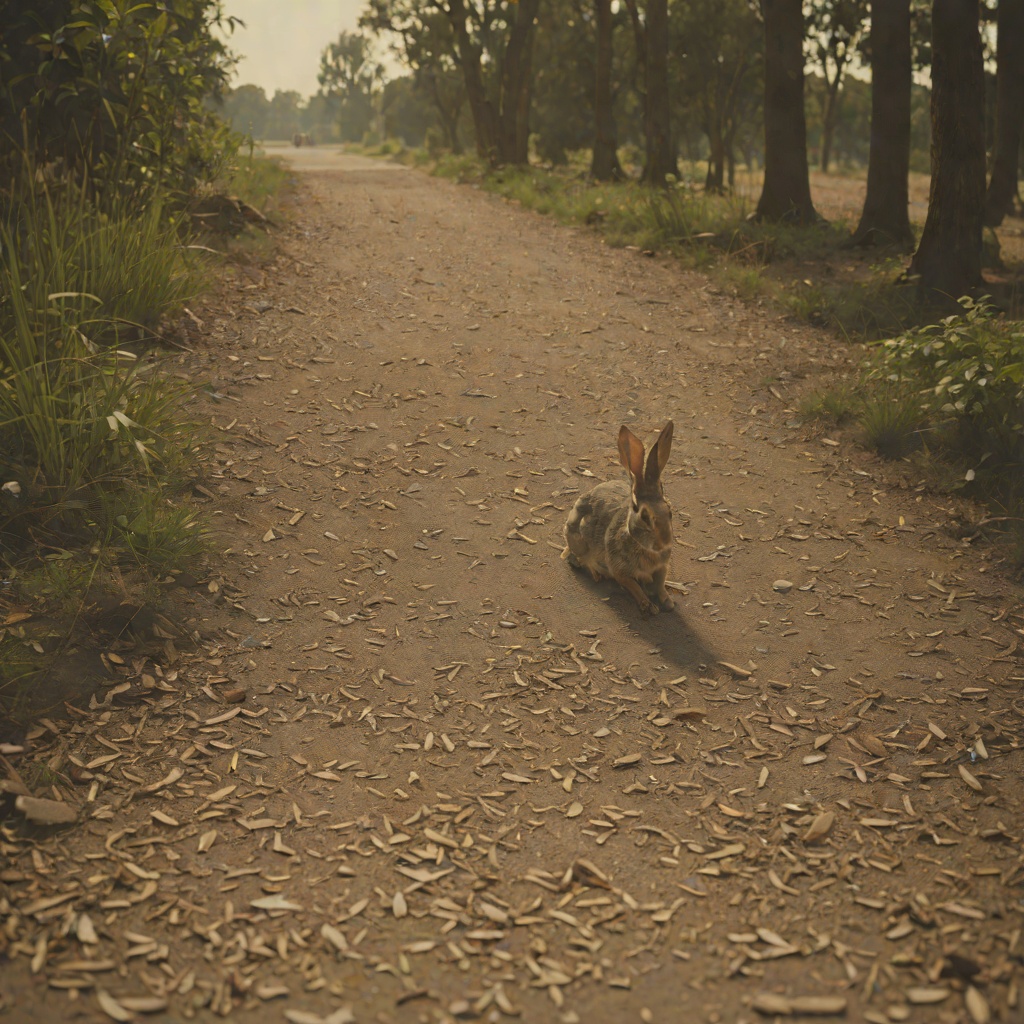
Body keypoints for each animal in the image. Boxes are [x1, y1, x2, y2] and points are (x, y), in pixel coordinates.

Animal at [561, 421, 675, 617]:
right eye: (644, 516)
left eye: (670, 512)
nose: (664, 543)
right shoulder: (620, 569)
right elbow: (633, 585)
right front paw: (648, 605)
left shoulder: (661, 568)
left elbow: (660, 585)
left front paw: (668, 602)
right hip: (577, 537)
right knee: (582, 558)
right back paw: (596, 574)